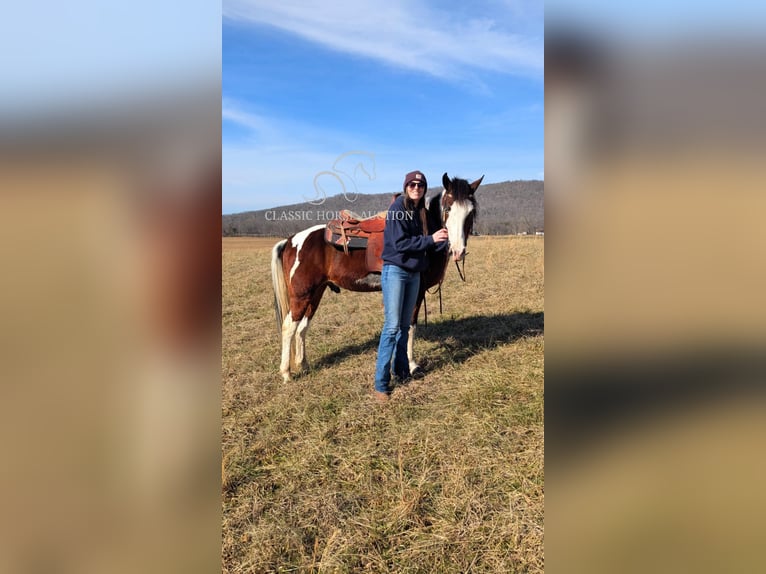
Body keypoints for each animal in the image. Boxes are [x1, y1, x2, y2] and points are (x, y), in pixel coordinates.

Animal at [272, 173, 484, 384]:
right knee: (289, 327)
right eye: (448, 208)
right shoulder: (416, 292)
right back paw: (286, 373)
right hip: (302, 294)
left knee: (302, 327)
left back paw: (304, 365)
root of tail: (291, 240)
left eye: (471, 213)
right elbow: (410, 327)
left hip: (316, 293)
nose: (458, 251)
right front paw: (412, 365)